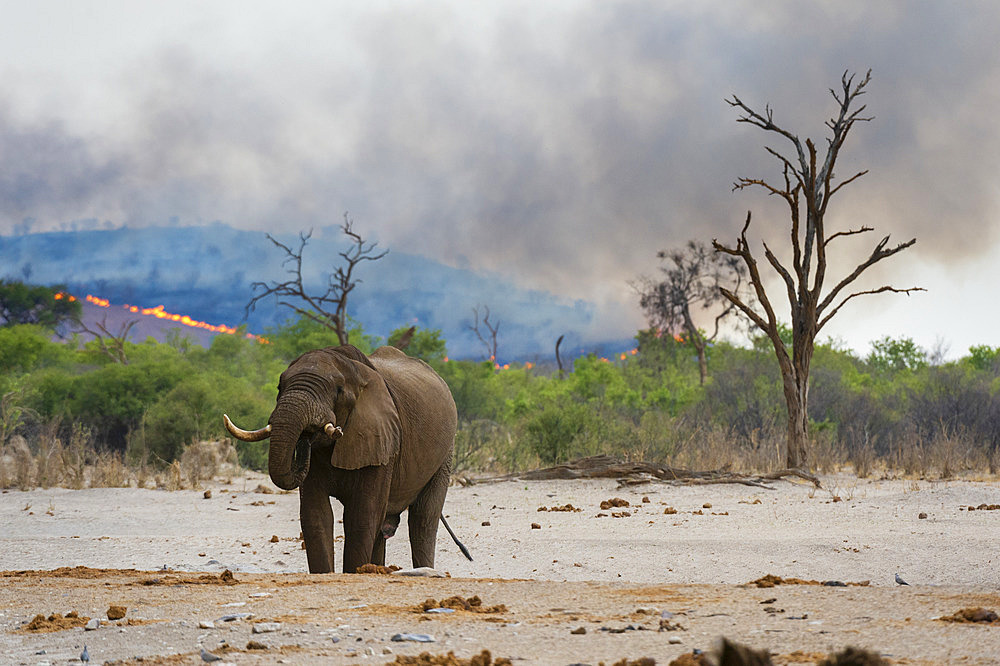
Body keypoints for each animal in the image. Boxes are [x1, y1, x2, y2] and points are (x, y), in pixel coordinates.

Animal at [223, 342, 468, 572]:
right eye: (279, 387)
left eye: (338, 391)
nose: (306, 436)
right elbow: (316, 515)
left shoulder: (382, 439)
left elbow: (361, 516)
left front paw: (354, 571)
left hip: (445, 453)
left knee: (423, 519)